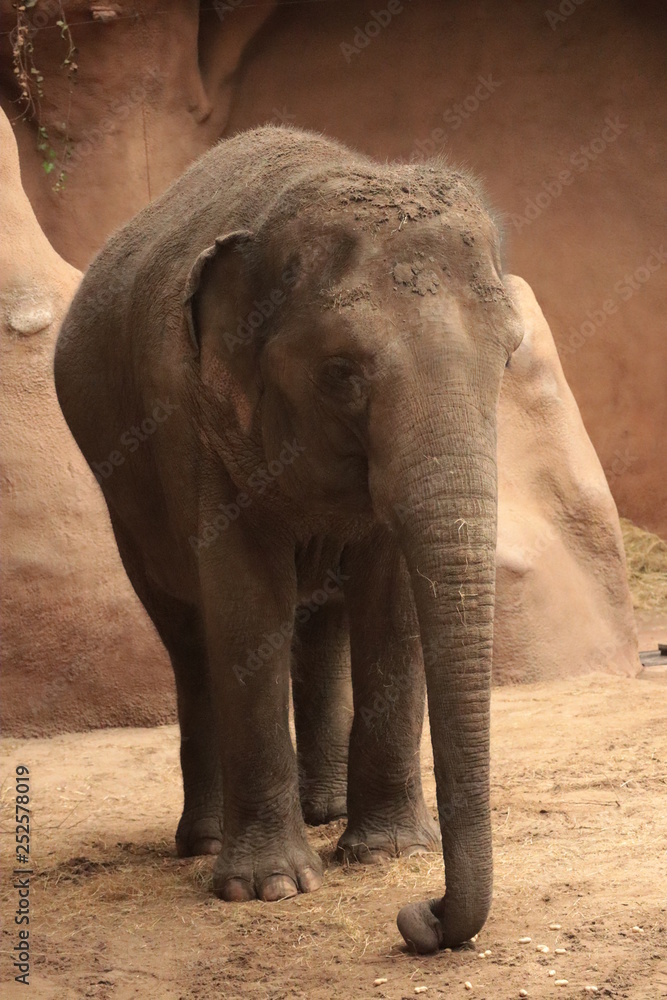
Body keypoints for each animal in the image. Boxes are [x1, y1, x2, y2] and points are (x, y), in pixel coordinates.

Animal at [54, 125, 524, 952]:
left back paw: (325, 813)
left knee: (320, 622)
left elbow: (390, 601)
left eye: (508, 356)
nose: (421, 917)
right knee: (188, 639)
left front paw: (389, 853)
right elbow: (246, 602)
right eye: (340, 371)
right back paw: (206, 840)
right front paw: (267, 889)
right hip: (123, 498)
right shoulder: (191, 418)